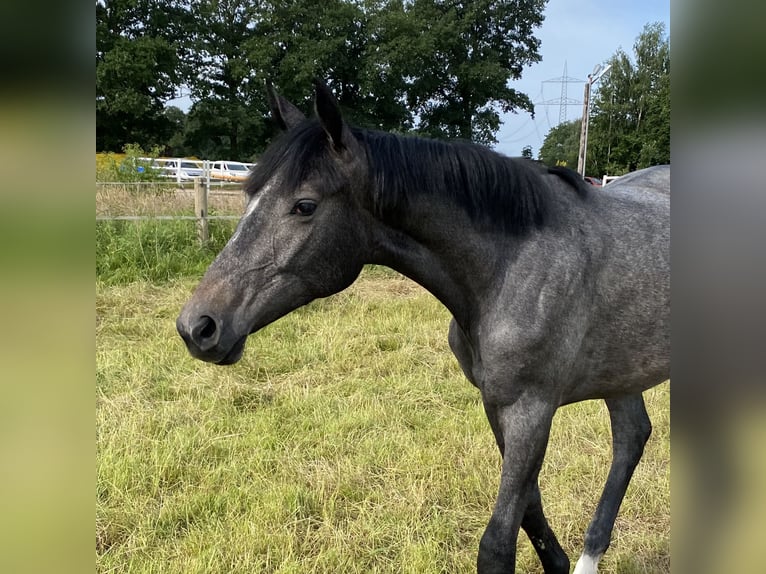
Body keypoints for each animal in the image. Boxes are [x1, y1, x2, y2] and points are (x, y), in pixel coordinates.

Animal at [177, 82, 668, 574]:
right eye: (250, 197)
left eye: (305, 206)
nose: (197, 326)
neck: (509, 265)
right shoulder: (498, 406)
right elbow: (530, 508)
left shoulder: (531, 410)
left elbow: (497, 543)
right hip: (622, 373)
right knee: (632, 437)